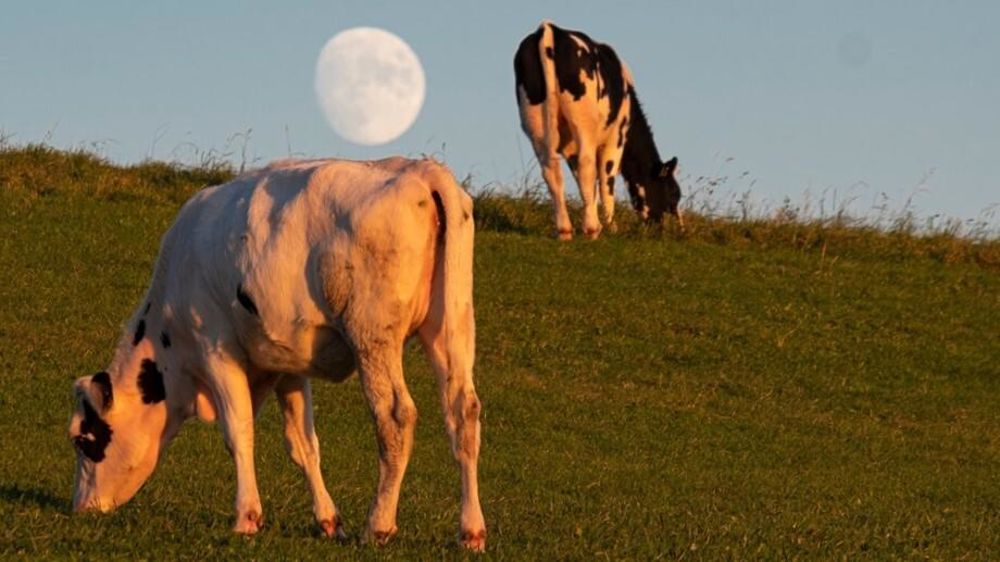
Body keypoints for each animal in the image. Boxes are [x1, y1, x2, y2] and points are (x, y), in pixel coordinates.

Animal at [67, 157, 487, 551]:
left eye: (83, 440)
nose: (80, 509)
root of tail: (419, 169)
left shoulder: (216, 349)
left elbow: (238, 432)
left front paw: (247, 517)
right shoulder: (289, 363)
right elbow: (303, 444)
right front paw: (328, 520)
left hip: (372, 335)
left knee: (395, 417)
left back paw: (378, 525)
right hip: (452, 325)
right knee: (463, 412)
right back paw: (471, 531)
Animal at [514, 20, 684, 240]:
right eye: (673, 193)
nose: (679, 231)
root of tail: (549, 29)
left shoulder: (571, 148)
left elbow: (587, 184)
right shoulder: (616, 138)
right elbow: (604, 181)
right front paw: (611, 227)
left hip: (535, 124)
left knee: (551, 170)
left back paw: (565, 230)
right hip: (583, 122)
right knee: (587, 165)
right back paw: (591, 230)